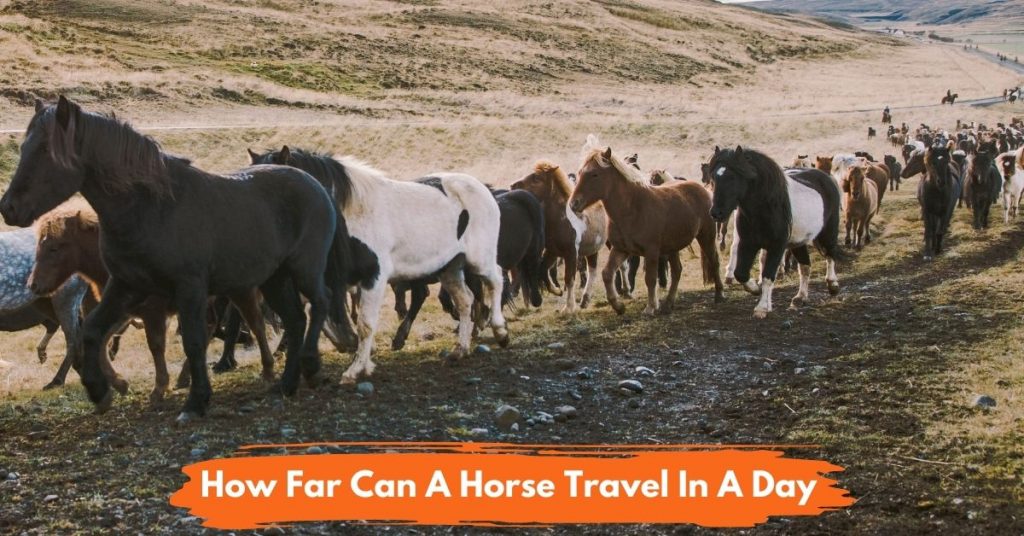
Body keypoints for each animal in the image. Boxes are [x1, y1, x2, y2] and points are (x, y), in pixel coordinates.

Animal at [29, 199, 278, 402]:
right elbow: (100, 340)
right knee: (213, 326)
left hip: (240, 290)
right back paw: (187, 377)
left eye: (54, 247)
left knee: (255, 323)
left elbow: (155, 345)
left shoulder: (152, 311)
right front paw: (121, 384)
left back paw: (266, 369)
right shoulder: (123, 312)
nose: (33, 285)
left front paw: (158, 388)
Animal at [250, 147, 508, 383]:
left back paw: (500, 331)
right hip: (449, 267)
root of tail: (481, 187)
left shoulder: (373, 276)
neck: (350, 212)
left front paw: (356, 369)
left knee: (496, 279)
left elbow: (364, 324)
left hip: (479, 259)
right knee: (465, 301)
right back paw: (460, 350)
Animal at [511, 161, 607, 313]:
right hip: (592, 249)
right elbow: (543, 271)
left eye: (536, 178)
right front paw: (557, 291)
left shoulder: (571, 254)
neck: (562, 220)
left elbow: (569, 279)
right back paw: (585, 300)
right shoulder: (552, 252)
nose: (512, 186)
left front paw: (568, 308)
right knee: (592, 271)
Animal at [570, 136, 723, 315]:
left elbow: (650, 278)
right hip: (673, 247)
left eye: (595, 174)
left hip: (706, 237)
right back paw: (668, 303)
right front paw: (618, 306)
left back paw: (719, 295)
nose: (574, 203)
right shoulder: (621, 249)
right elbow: (607, 274)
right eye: (580, 173)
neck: (632, 209)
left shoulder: (651, 251)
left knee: (714, 261)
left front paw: (650, 308)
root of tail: (703, 189)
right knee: (677, 271)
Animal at [708, 146, 841, 318]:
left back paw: (832, 285)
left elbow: (768, 276)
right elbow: (741, 273)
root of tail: (825, 177)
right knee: (805, 266)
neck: (765, 207)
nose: (716, 213)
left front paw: (762, 308)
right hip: (798, 241)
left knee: (830, 255)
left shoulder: (776, 246)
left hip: (827, 232)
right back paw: (800, 297)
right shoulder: (748, 243)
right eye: (713, 178)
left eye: (732, 177)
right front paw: (755, 289)